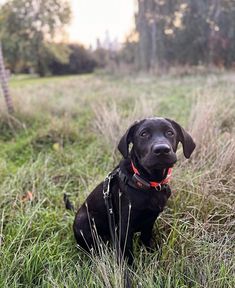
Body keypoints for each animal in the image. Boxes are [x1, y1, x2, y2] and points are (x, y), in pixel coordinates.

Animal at [72, 117, 196, 266]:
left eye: (170, 133)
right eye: (144, 134)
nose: (161, 150)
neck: (148, 183)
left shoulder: (150, 221)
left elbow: (146, 239)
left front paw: (151, 255)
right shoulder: (125, 226)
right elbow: (127, 253)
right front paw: (130, 269)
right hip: (83, 221)